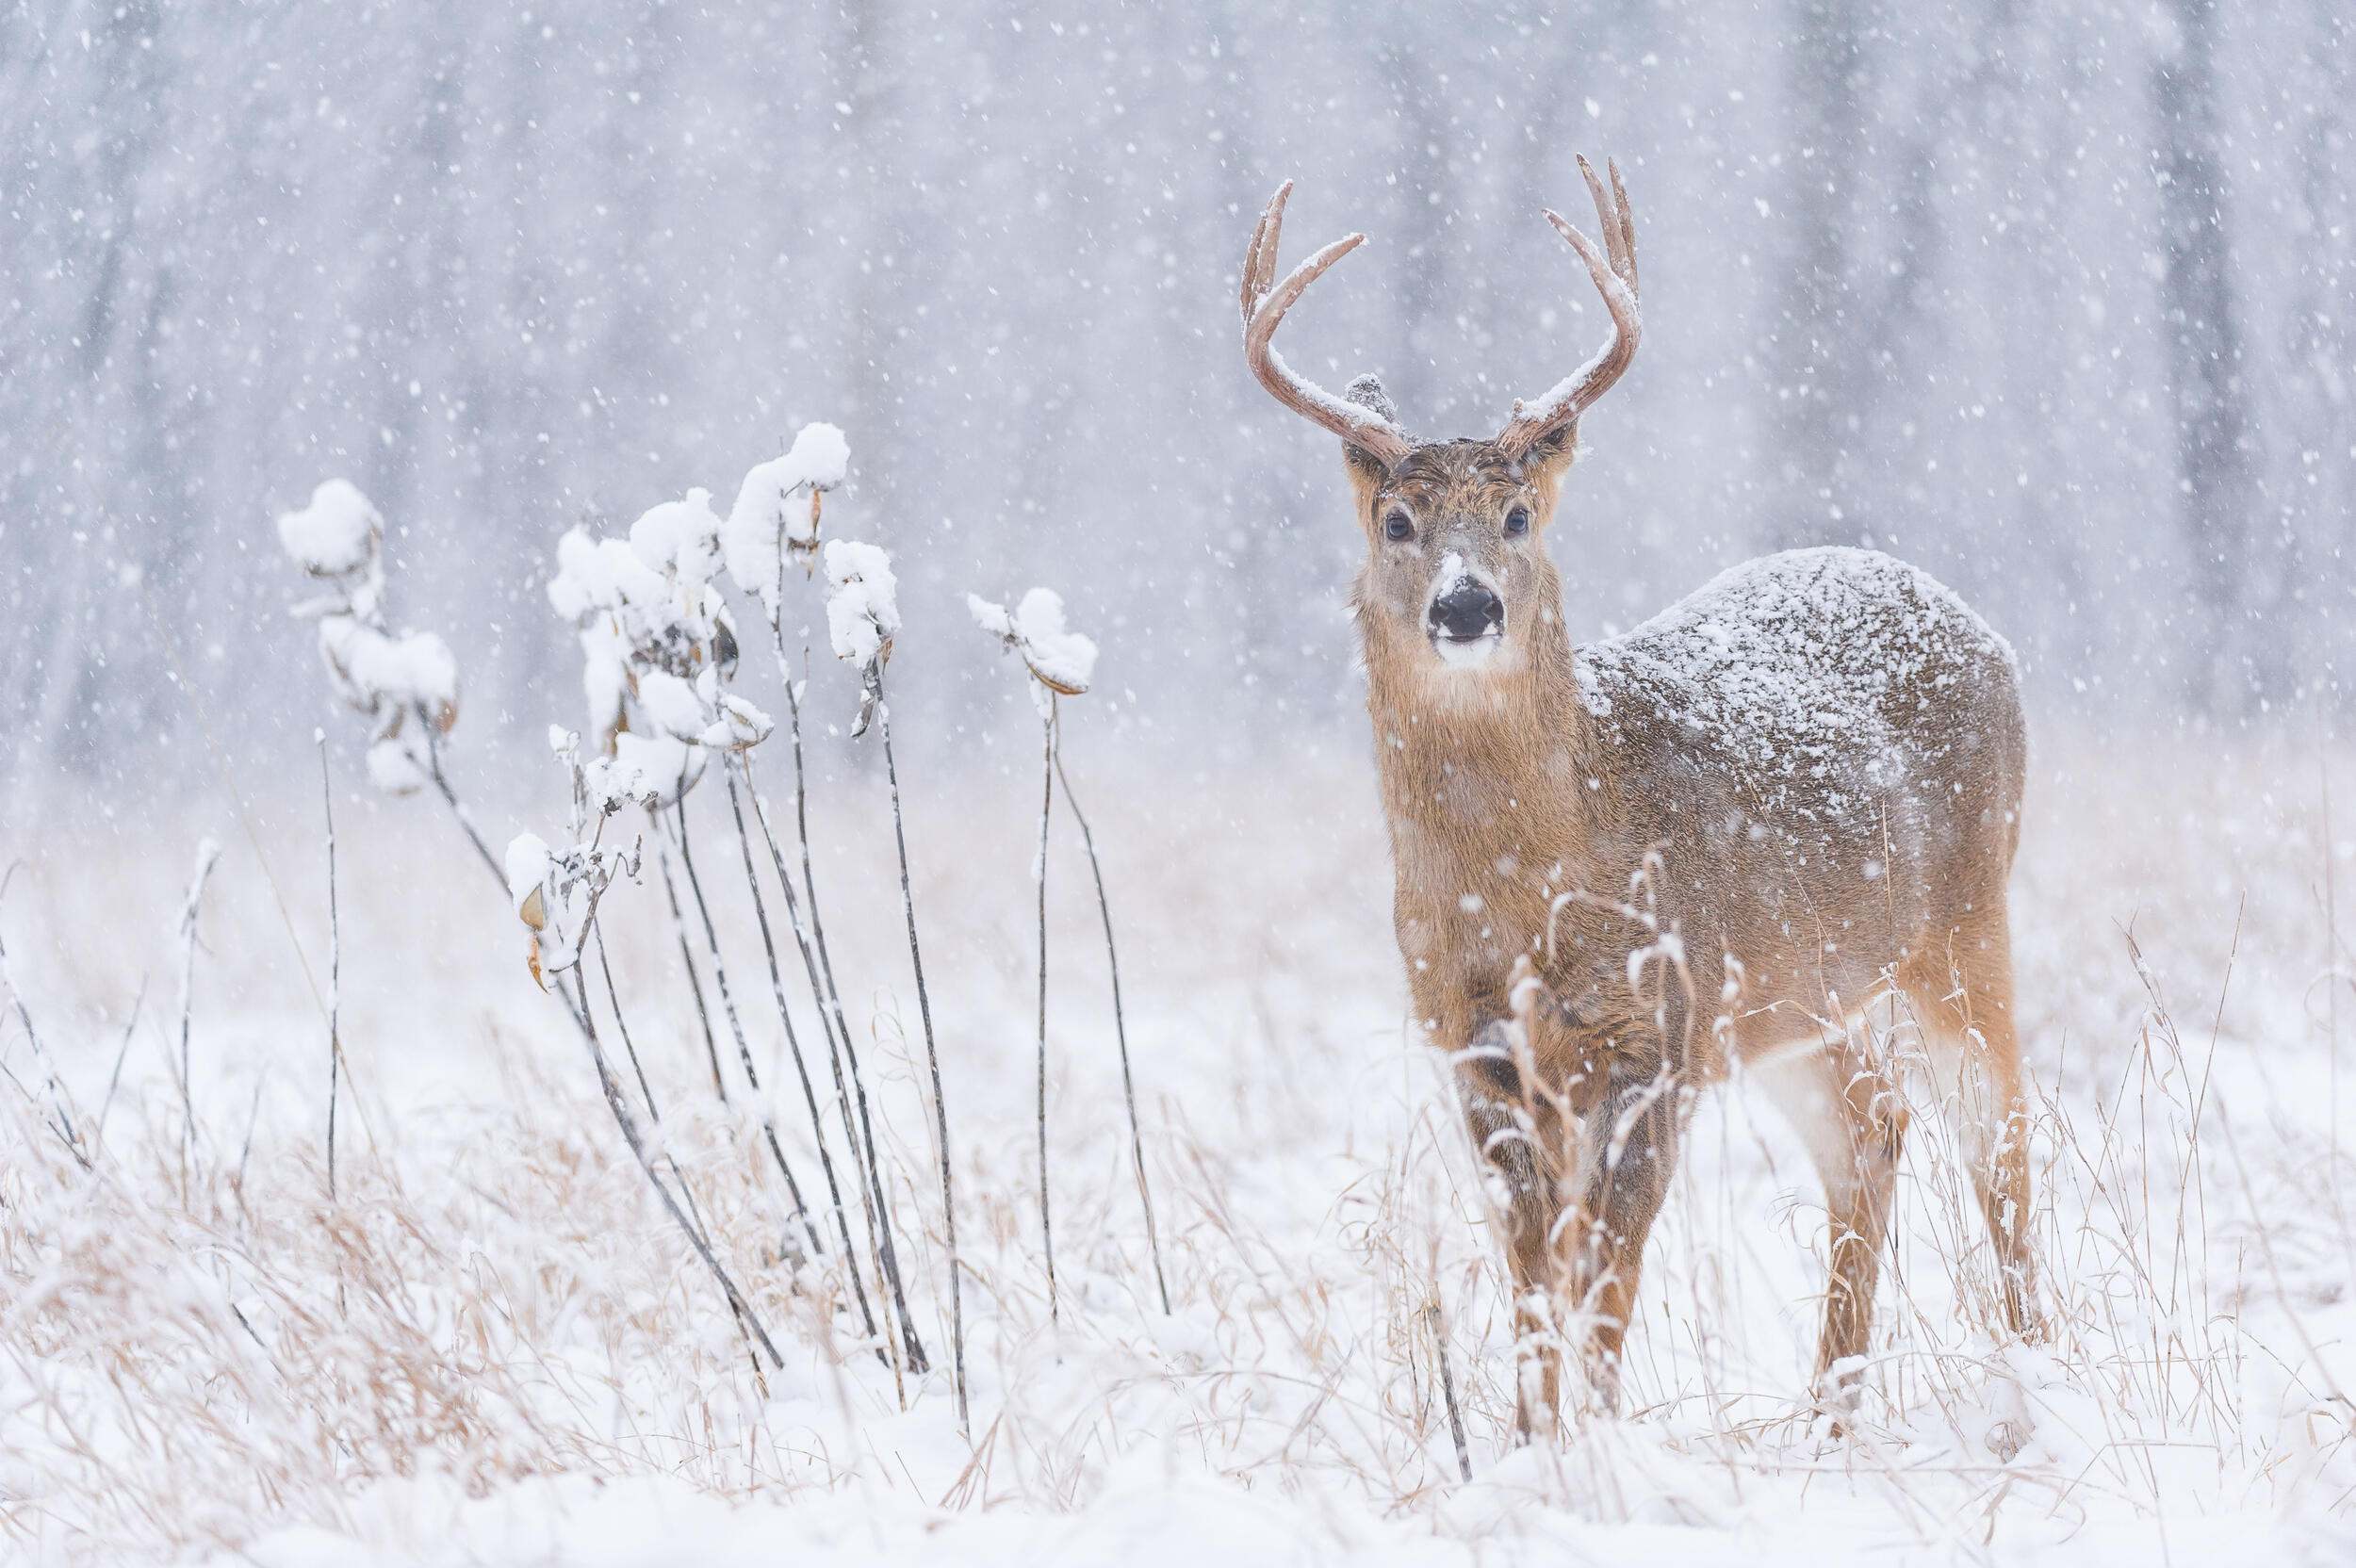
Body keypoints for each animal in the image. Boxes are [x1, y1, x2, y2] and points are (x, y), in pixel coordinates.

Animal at [1238, 158, 2039, 1437]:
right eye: (1396, 520)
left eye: (1516, 515)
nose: (1467, 606)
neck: (1530, 890)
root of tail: (1977, 623)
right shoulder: (1474, 1045)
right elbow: (1534, 1273)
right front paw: (1530, 1437)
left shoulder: (1655, 1026)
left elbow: (1606, 1271)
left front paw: (1600, 1438)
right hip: (1797, 993)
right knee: (1872, 1125)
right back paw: (1827, 1411)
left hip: (1963, 916)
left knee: (2000, 1134)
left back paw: (2035, 1368)